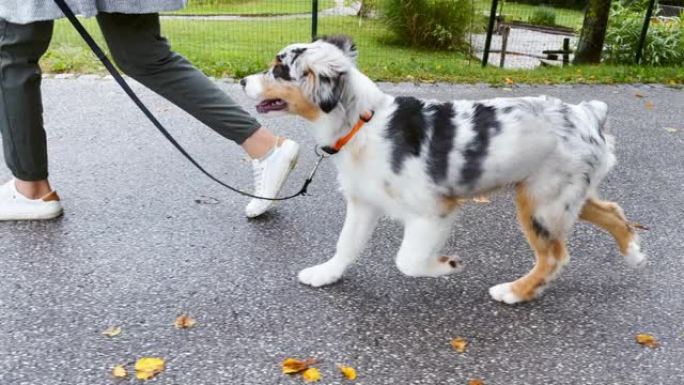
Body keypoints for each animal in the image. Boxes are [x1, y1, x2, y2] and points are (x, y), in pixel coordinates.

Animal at [242, 35, 648, 304]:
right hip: (559, 194)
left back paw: (513, 292)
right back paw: (633, 253)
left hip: (541, 203)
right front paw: (326, 273)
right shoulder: (363, 202)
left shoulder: (433, 212)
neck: (362, 122)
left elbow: (407, 260)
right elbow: (347, 244)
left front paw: (445, 265)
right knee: (613, 212)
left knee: (553, 257)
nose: (243, 81)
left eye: (278, 69)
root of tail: (588, 114)